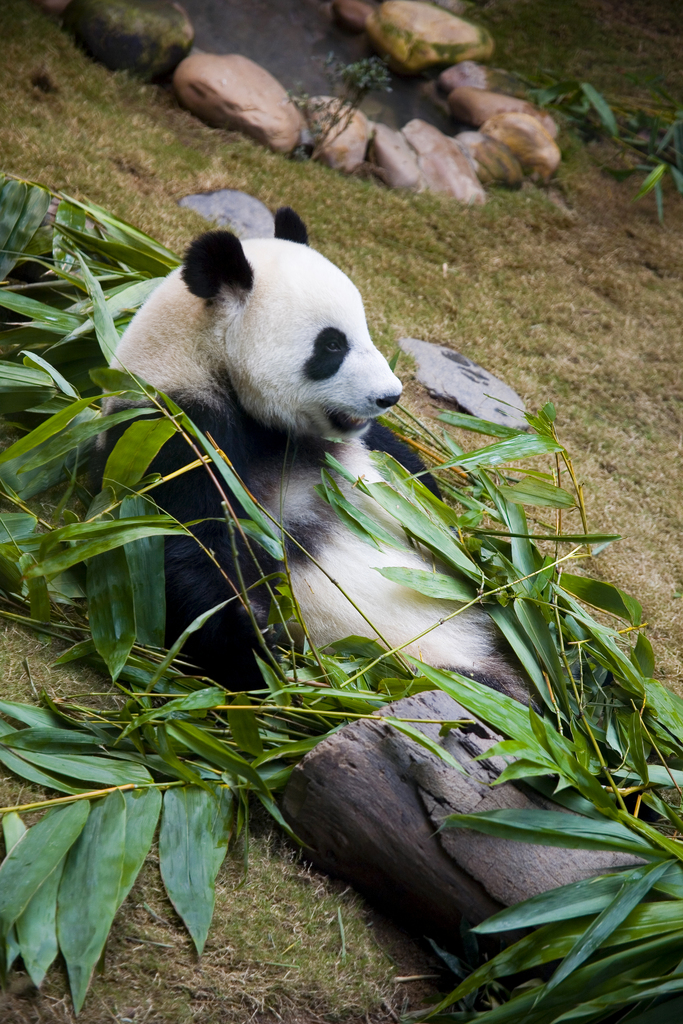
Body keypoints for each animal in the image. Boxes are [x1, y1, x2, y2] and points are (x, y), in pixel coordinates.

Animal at [96, 207, 528, 704]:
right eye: (332, 345)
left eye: (364, 329)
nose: (390, 397)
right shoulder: (172, 435)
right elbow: (186, 544)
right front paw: (253, 648)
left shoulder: (351, 446)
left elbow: (410, 480)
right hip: (424, 668)